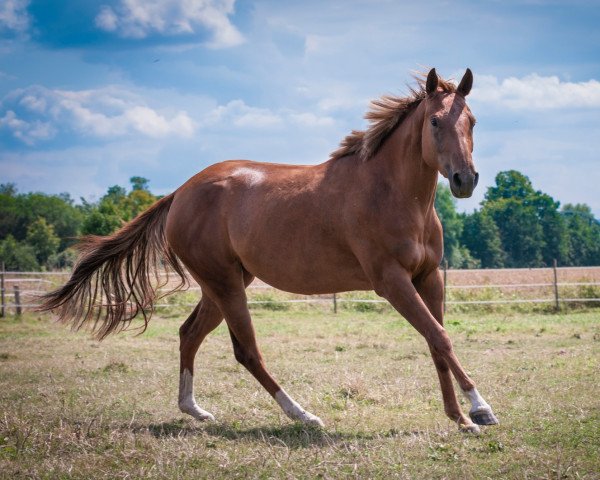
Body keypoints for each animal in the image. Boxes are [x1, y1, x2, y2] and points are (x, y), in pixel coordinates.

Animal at [41, 68, 496, 436]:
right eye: (434, 121)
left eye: (473, 121)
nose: (465, 179)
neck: (392, 193)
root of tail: (182, 191)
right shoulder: (391, 281)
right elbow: (438, 337)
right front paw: (480, 409)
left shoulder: (427, 277)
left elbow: (437, 341)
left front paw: (461, 417)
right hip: (226, 285)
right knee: (246, 351)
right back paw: (303, 415)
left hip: (225, 283)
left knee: (189, 334)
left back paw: (196, 410)